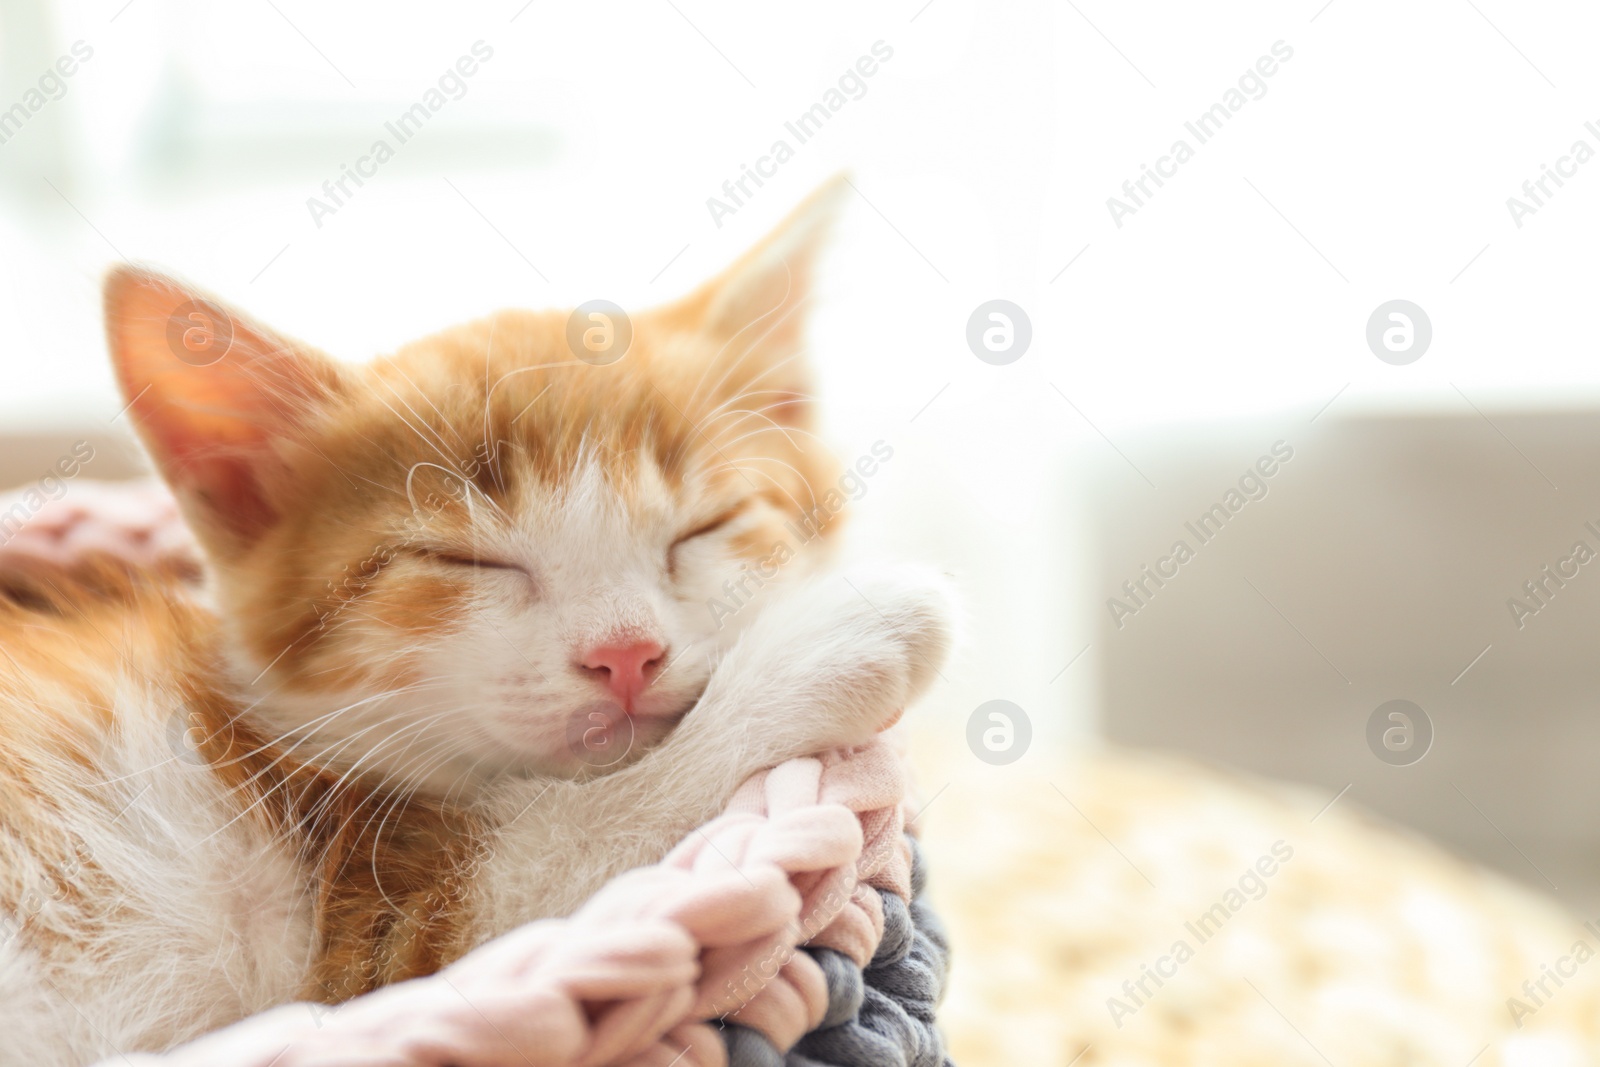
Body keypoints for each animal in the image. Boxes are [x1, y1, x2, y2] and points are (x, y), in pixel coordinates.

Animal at [0, 187, 947, 1062]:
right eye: (467, 559)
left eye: (705, 526)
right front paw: (843, 636)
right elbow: (580, 873)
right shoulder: (376, 959)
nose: (625, 654)